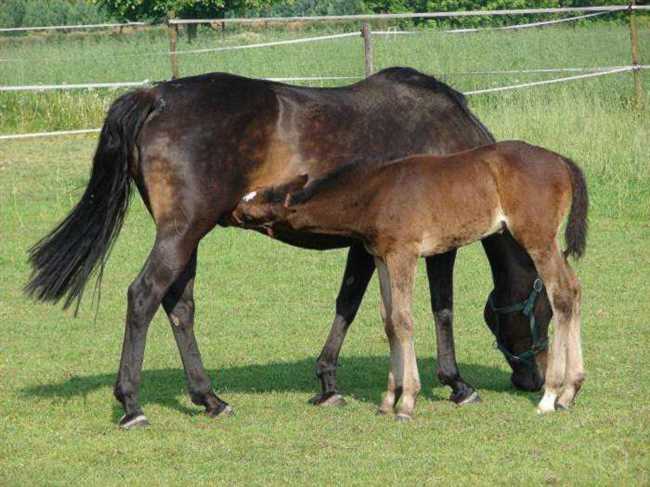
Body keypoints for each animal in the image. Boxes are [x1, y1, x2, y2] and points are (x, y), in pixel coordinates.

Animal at [230, 140, 584, 420]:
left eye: (256, 204)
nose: (232, 209)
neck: (375, 193)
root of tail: (562, 161)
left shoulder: (404, 254)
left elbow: (403, 320)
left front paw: (407, 402)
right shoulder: (382, 258)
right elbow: (389, 322)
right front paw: (389, 399)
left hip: (537, 239)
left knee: (561, 293)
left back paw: (550, 395)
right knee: (575, 289)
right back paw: (570, 390)